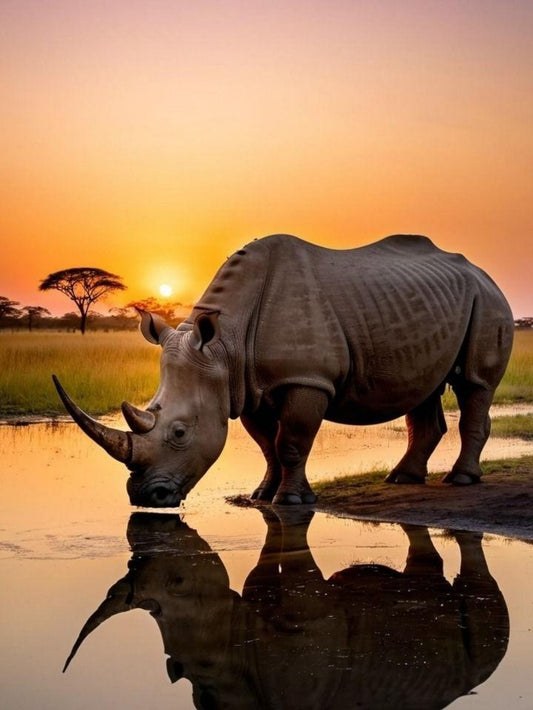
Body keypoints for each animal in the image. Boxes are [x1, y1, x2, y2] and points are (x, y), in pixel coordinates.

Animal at [53, 234, 514, 507]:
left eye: (180, 433)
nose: (146, 498)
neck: (223, 344)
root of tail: (484, 274)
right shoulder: (247, 386)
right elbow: (267, 444)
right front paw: (262, 495)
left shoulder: (306, 379)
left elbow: (292, 441)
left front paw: (289, 502)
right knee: (424, 387)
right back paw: (401, 480)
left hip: (488, 300)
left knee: (474, 384)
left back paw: (460, 480)